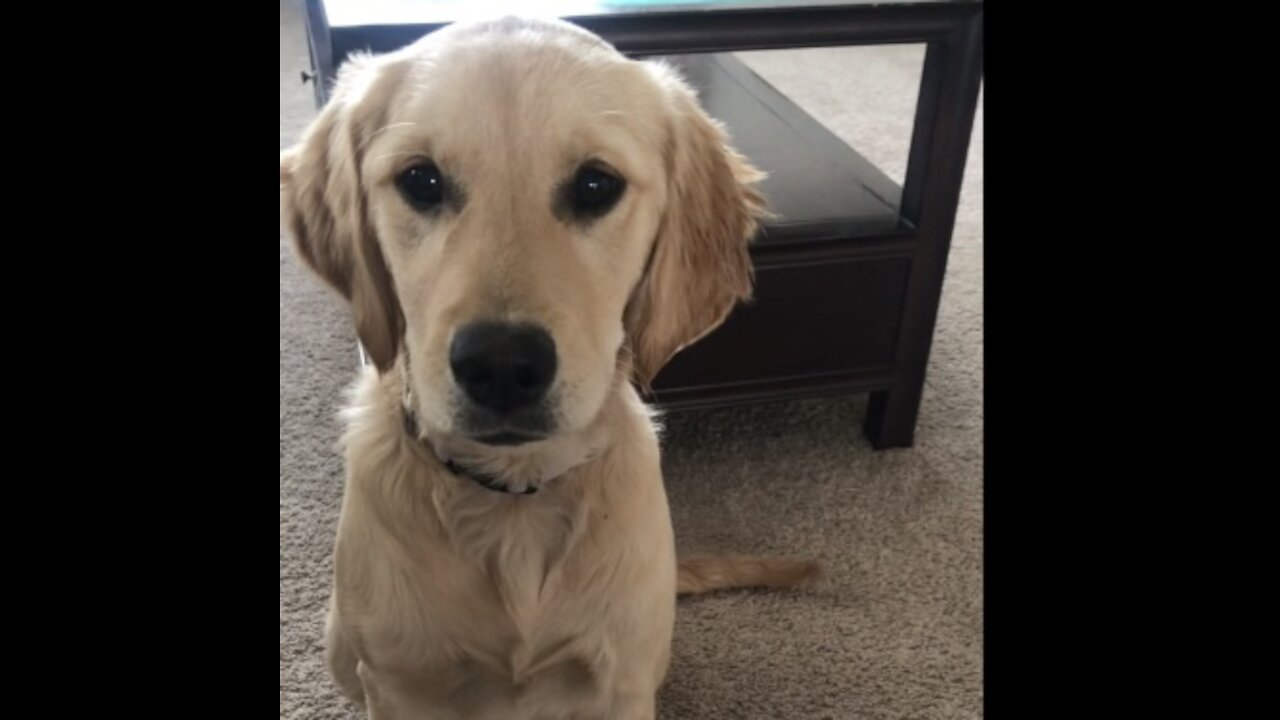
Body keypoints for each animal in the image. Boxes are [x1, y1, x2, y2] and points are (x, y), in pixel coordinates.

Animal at [282, 16, 819, 717]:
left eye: (596, 185)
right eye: (421, 180)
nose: (501, 365)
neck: (515, 500)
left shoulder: (623, 684)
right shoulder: (400, 685)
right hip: (341, 641)